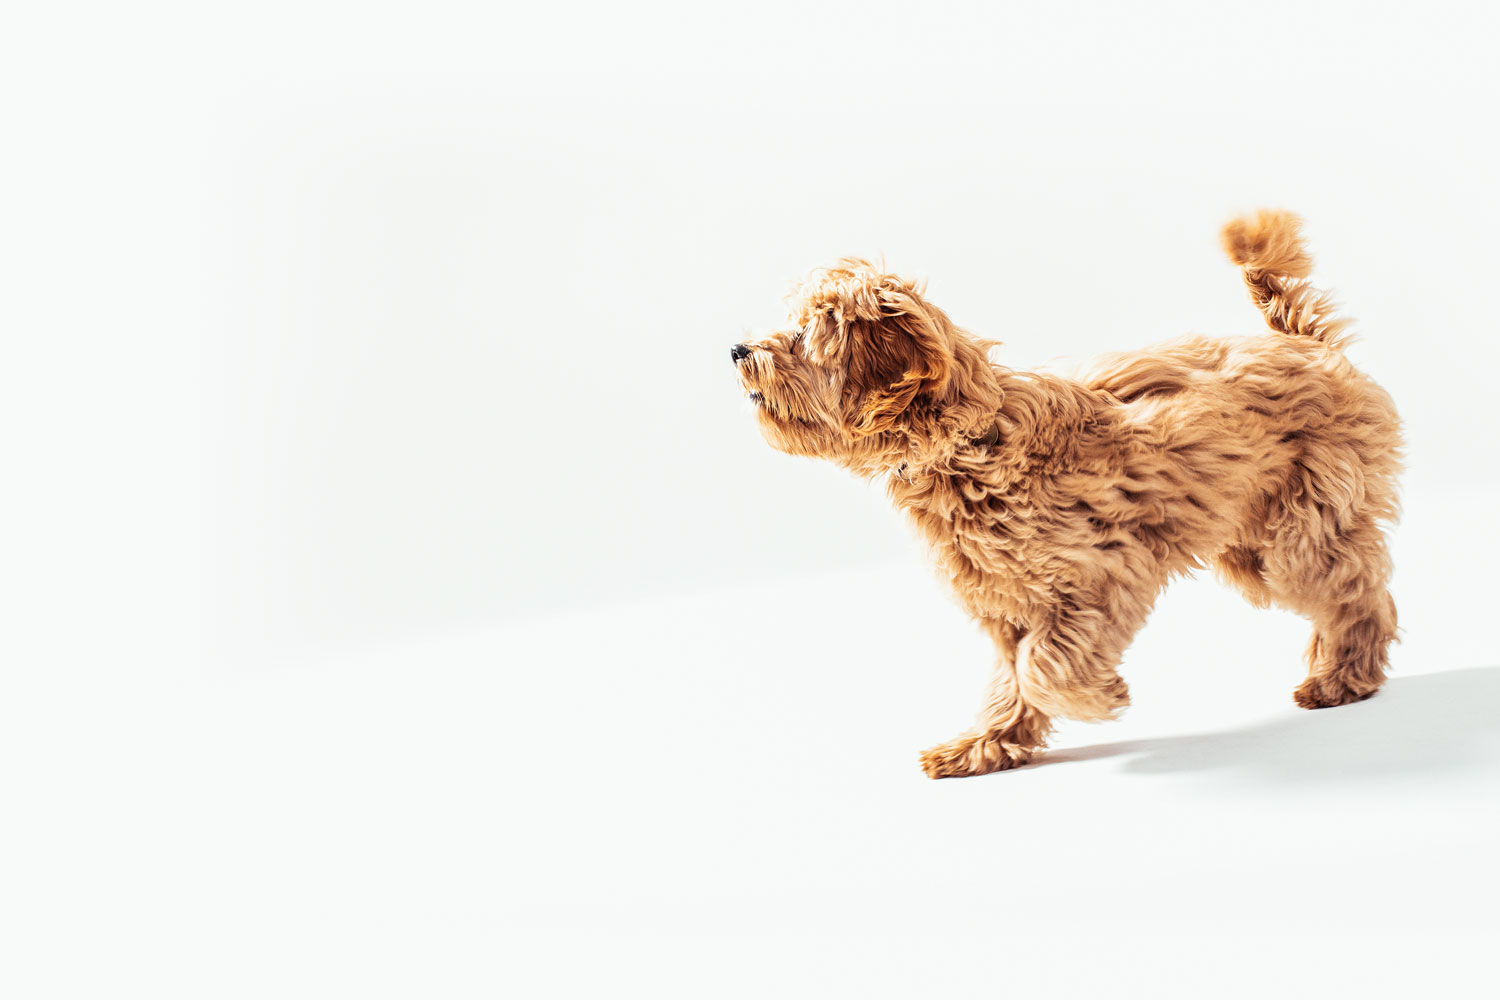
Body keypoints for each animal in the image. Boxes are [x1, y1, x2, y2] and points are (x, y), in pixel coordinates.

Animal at [732, 211, 1402, 778]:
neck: (969, 443)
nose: (738, 349)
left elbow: (1043, 667)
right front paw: (986, 746)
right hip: (1248, 547)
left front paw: (1099, 697)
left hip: (1296, 535)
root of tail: (1307, 342)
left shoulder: (1103, 575)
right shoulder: (1004, 601)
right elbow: (1013, 676)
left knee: (1360, 594)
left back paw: (1344, 677)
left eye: (802, 335)